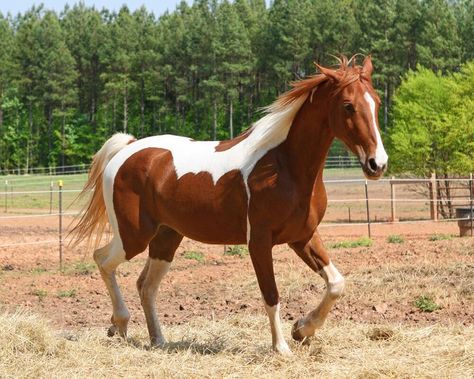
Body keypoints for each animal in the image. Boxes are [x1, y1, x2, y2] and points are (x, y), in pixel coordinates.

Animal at [71, 55, 388, 354]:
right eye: (348, 106)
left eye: (377, 102)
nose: (378, 164)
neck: (283, 166)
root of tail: (128, 149)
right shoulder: (259, 242)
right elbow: (271, 295)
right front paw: (281, 348)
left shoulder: (302, 237)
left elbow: (336, 283)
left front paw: (302, 329)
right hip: (133, 236)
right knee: (103, 260)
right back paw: (119, 324)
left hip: (166, 238)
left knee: (145, 285)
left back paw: (158, 340)